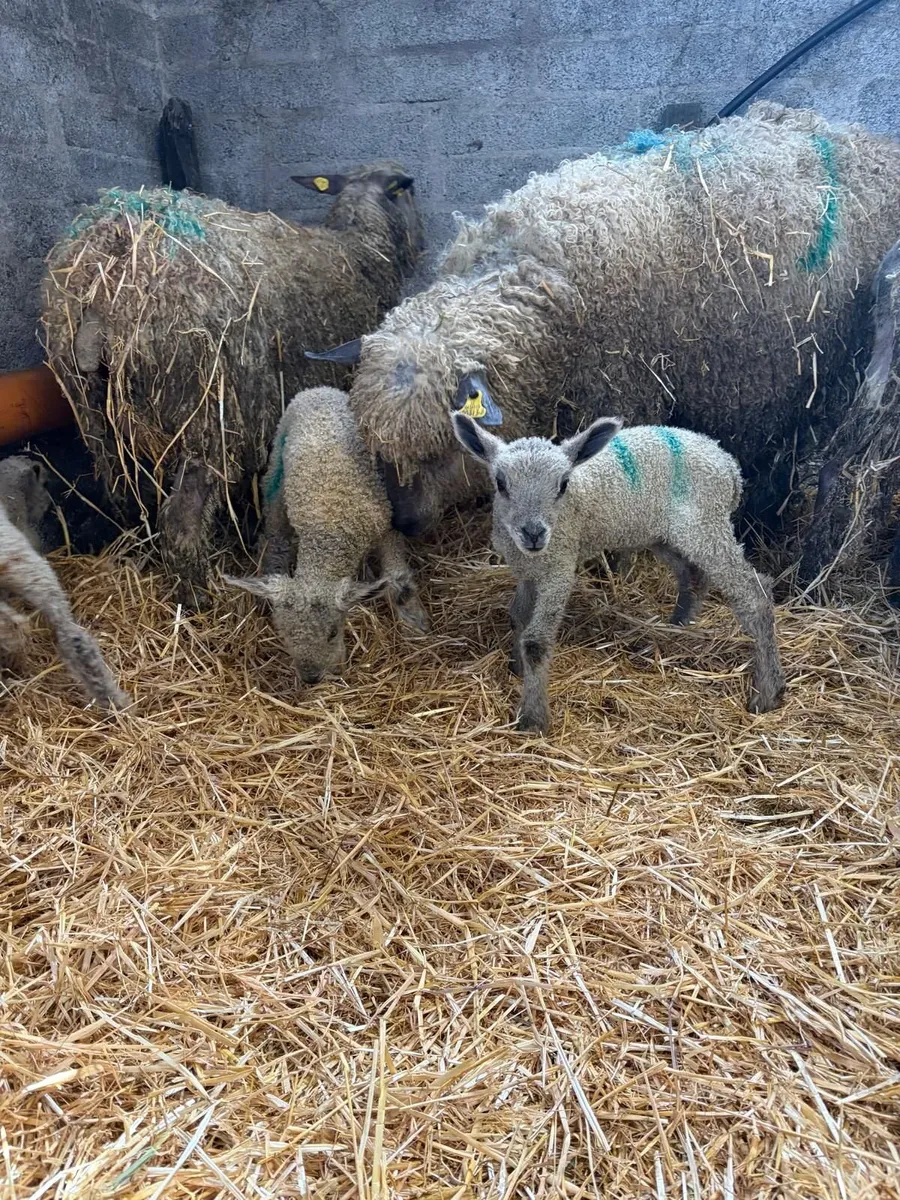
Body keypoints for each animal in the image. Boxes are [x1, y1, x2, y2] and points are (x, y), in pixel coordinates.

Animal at [42, 161, 424, 607]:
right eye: (407, 191)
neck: (361, 248)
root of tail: (104, 276)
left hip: (98, 419)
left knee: (128, 497)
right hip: (204, 414)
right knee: (180, 519)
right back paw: (197, 597)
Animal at [224, 387, 428, 684]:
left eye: (333, 631)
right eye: (284, 633)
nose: (311, 677)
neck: (329, 532)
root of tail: (319, 390)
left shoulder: (386, 525)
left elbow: (399, 579)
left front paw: (414, 623)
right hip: (277, 465)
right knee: (276, 534)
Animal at [308, 104, 900, 548]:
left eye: (440, 449)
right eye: (375, 447)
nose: (404, 524)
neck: (532, 280)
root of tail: (867, 142)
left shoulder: (619, 390)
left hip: (813, 372)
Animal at [452, 414, 785, 734]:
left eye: (563, 484)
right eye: (500, 483)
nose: (534, 533)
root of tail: (729, 466)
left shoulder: (559, 565)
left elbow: (536, 642)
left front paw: (532, 719)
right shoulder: (527, 570)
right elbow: (518, 616)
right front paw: (516, 665)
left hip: (705, 525)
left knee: (754, 593)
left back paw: (768, 691)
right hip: (665, 533)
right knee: (693, 576)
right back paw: (678, 624)